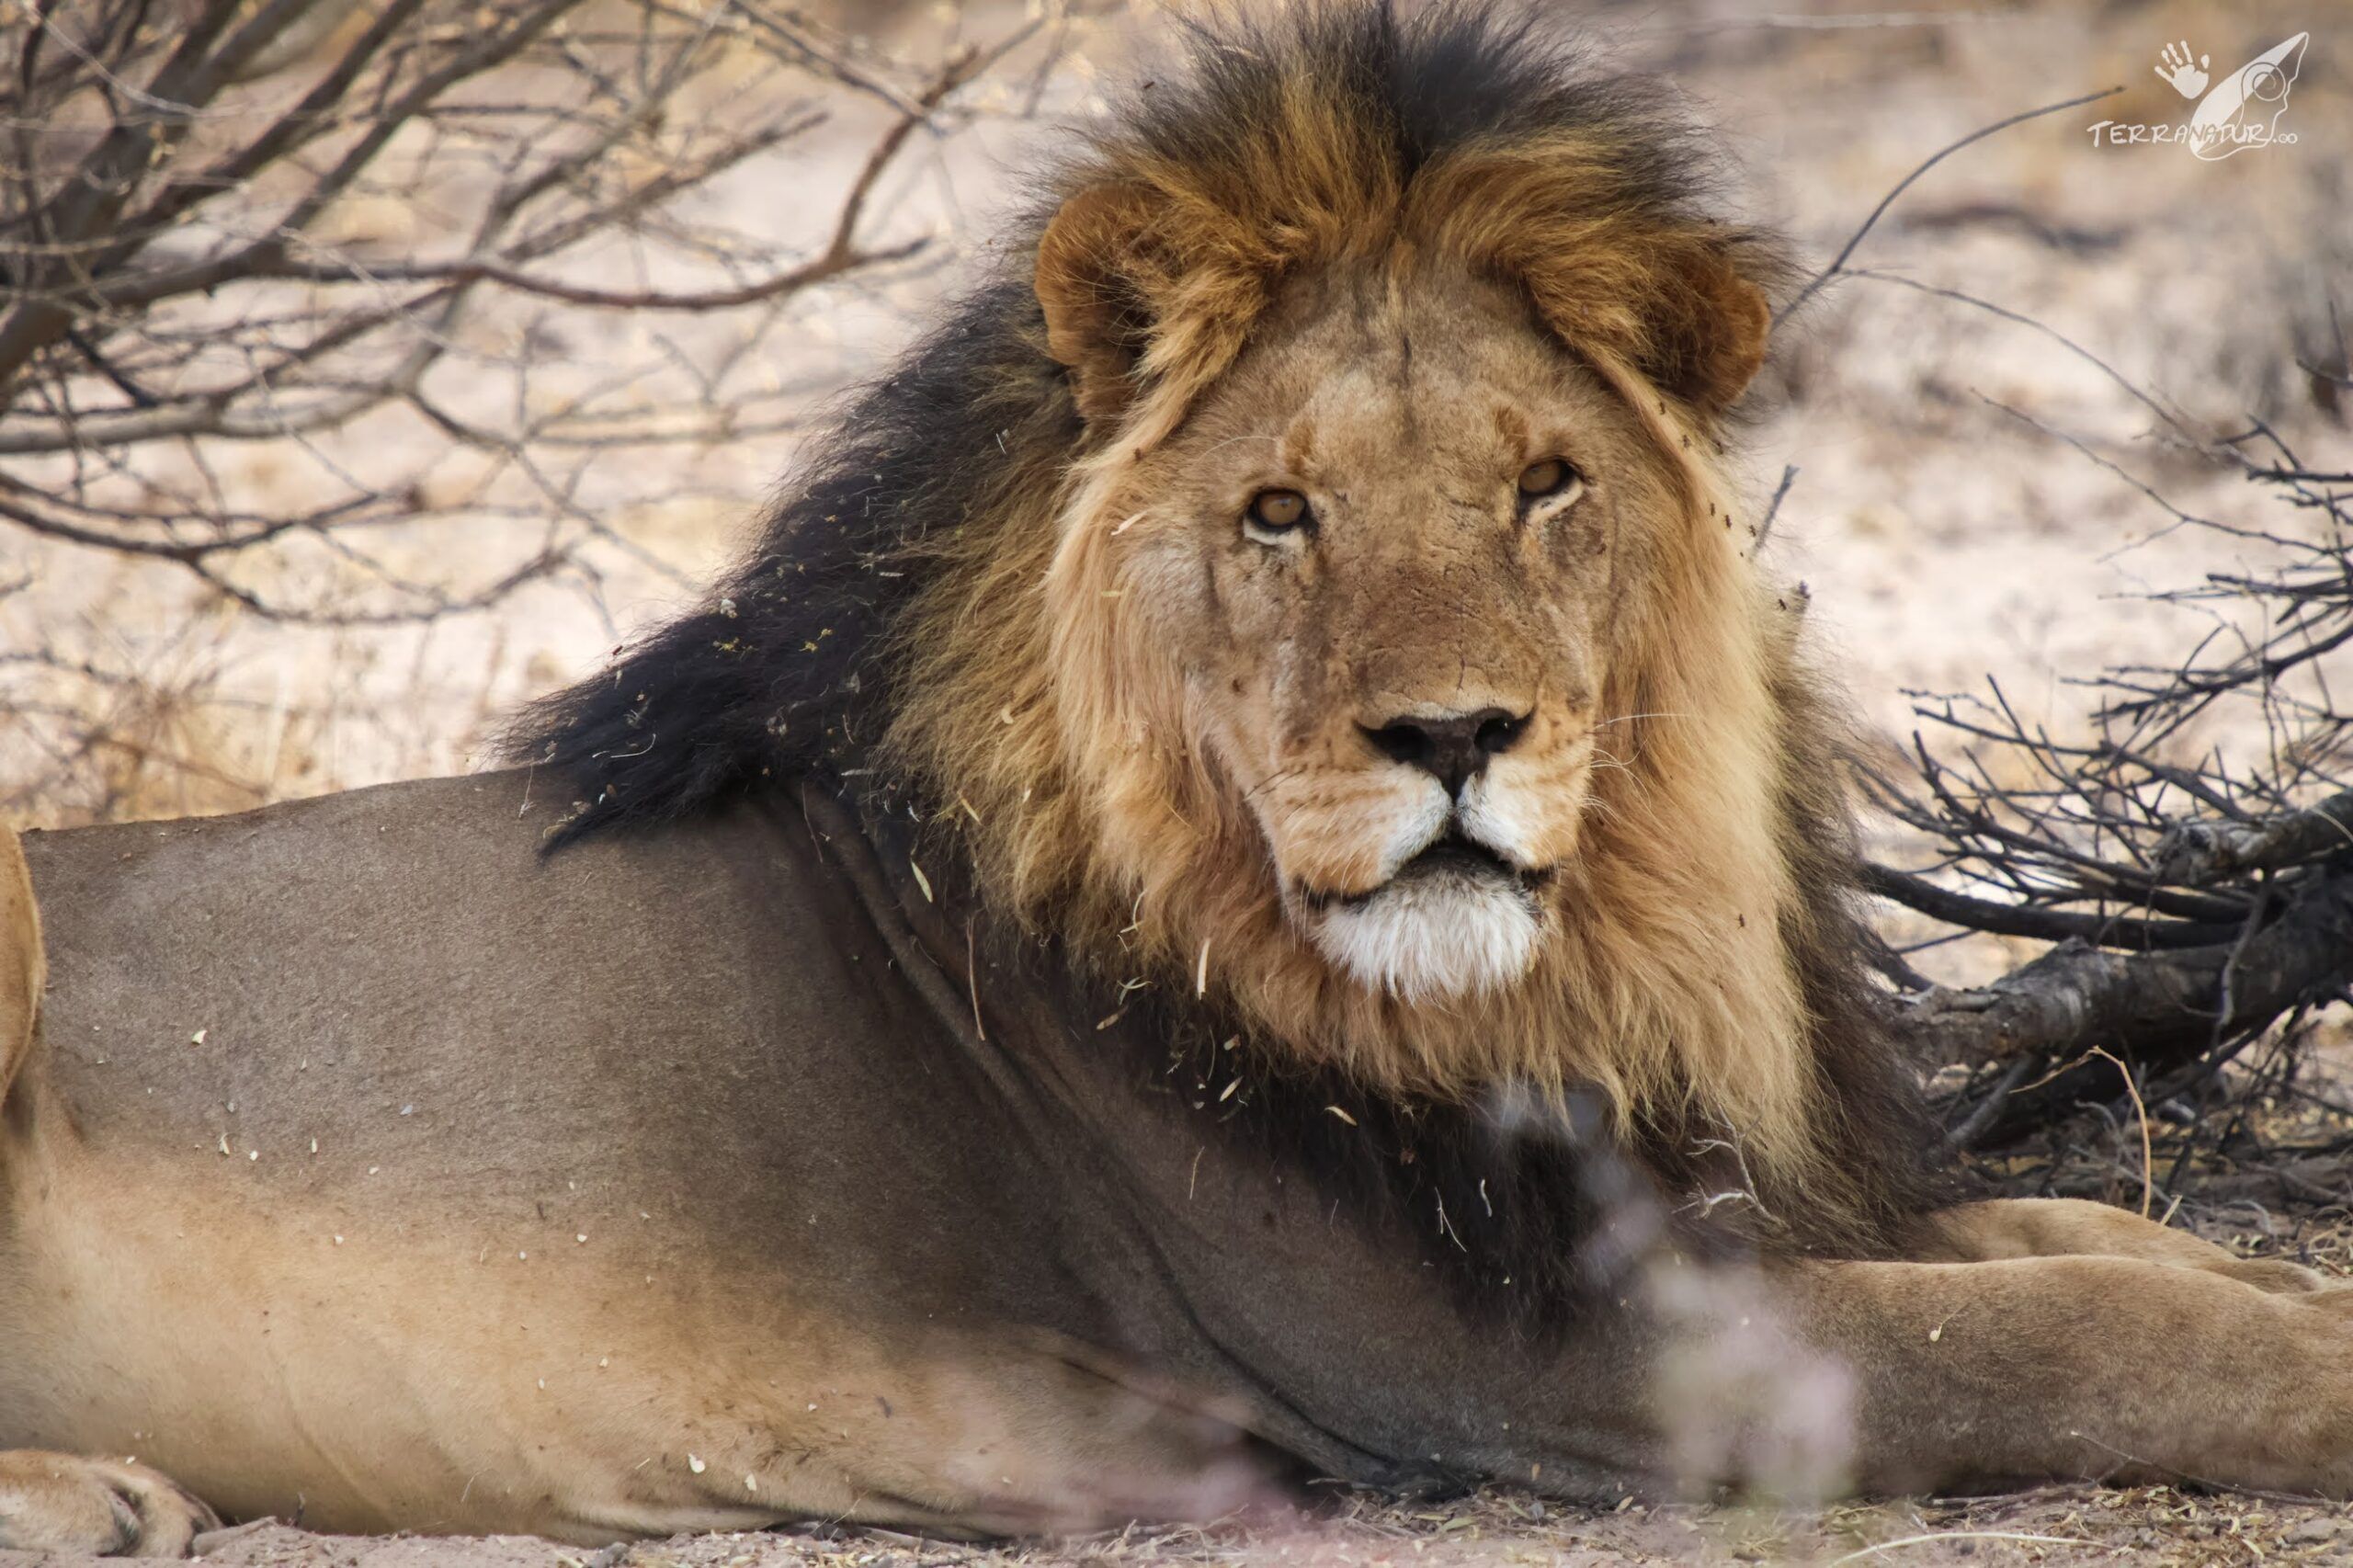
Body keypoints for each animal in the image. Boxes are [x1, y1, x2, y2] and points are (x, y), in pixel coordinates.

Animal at [3, 3, 2350, 1554]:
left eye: (1543, 484)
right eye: (1279, 514)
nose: (1449, 737)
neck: (1559, 971)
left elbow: (2091, 1234)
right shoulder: (1494, 1360)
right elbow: (2082, 1324)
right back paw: (90, 1489)